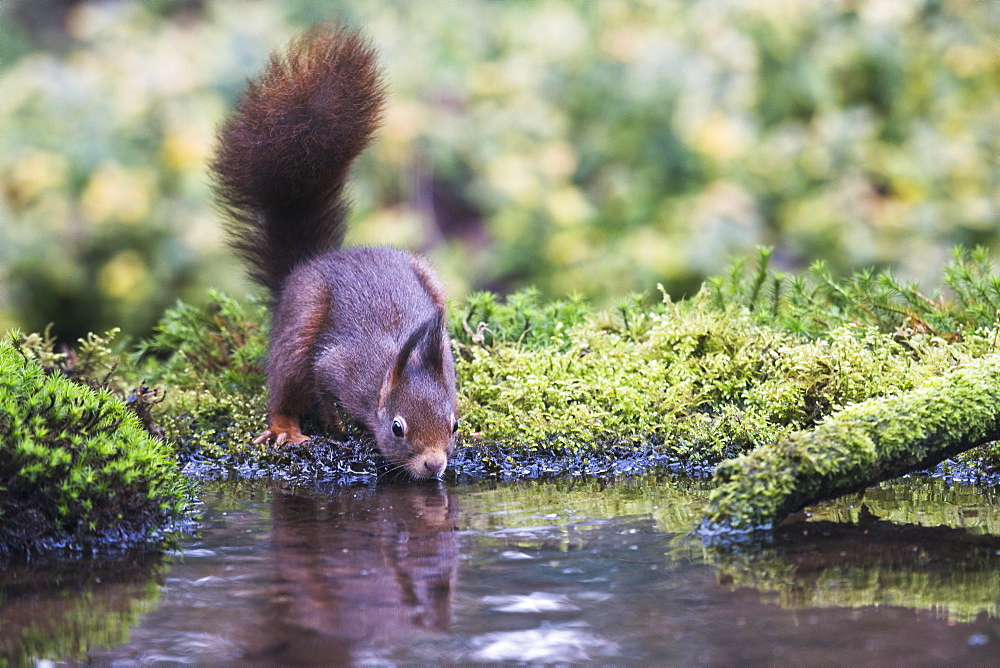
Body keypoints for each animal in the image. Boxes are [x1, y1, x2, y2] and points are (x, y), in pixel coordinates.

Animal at [215, 23, 460, 478]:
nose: (434, 465)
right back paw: (286, 428)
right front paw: (335, 424)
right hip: (302, 317)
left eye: (454, 425)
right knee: (284, 380)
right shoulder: (340, 366)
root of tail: (311, 263)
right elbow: (321, 384)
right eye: (397, 428)